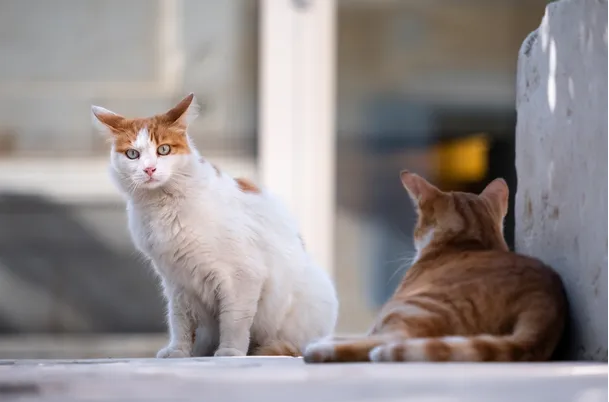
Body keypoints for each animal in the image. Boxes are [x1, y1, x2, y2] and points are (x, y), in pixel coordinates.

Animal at [91, 95, 338, 358]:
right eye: (132, 154)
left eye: (164, 149)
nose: (149, 169)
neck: (163, 207)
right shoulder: (177, 283)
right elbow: (179, 322)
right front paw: (178, 351)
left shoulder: (241, 277)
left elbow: (233, 321)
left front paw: (229, 352)